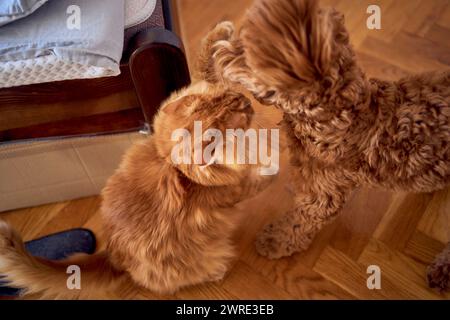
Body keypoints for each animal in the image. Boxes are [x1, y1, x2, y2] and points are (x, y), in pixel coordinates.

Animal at [204, 0, 450, 260]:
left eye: (249, 51)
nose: (219, 45)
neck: (337, 116)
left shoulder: (324, 193)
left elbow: (300, 221)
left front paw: (275, 240)